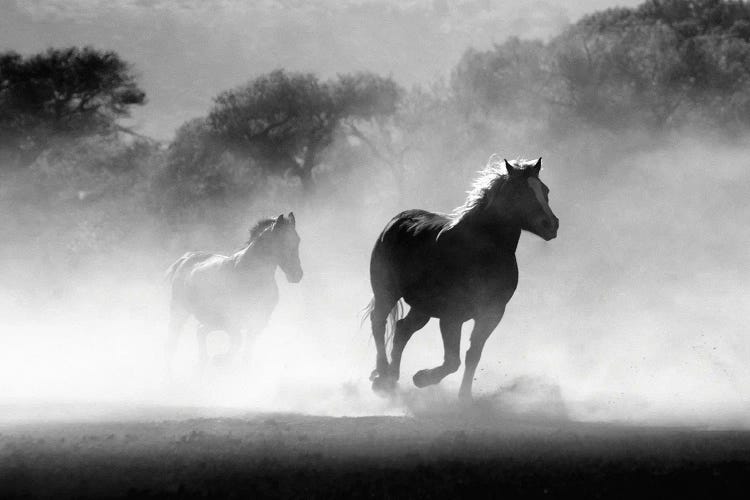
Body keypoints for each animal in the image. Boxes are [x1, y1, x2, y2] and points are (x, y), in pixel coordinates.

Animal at [166, 213, 304, 370]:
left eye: (297, 240)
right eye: (282, 242)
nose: (297, 275)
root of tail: (185, 259)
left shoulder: (256, 323)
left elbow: (246, 353)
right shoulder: (232, 321)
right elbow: (237, 343)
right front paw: (220, 360)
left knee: (200, 331)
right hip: (179, 311)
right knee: (172, 341)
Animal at [364, 156, 560, 402]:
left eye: (545, 190)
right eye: (518, 192)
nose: (551, 224)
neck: (480, 251)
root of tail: (396, 221)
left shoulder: (491, 314)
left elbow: (472, 355)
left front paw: (464, 397)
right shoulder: (452, 316)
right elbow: (452, 361)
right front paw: (422, 378)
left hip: (422, 308)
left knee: (401, 330)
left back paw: (392, 378)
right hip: (386, 292)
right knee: (378, 323)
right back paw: (382, 376)